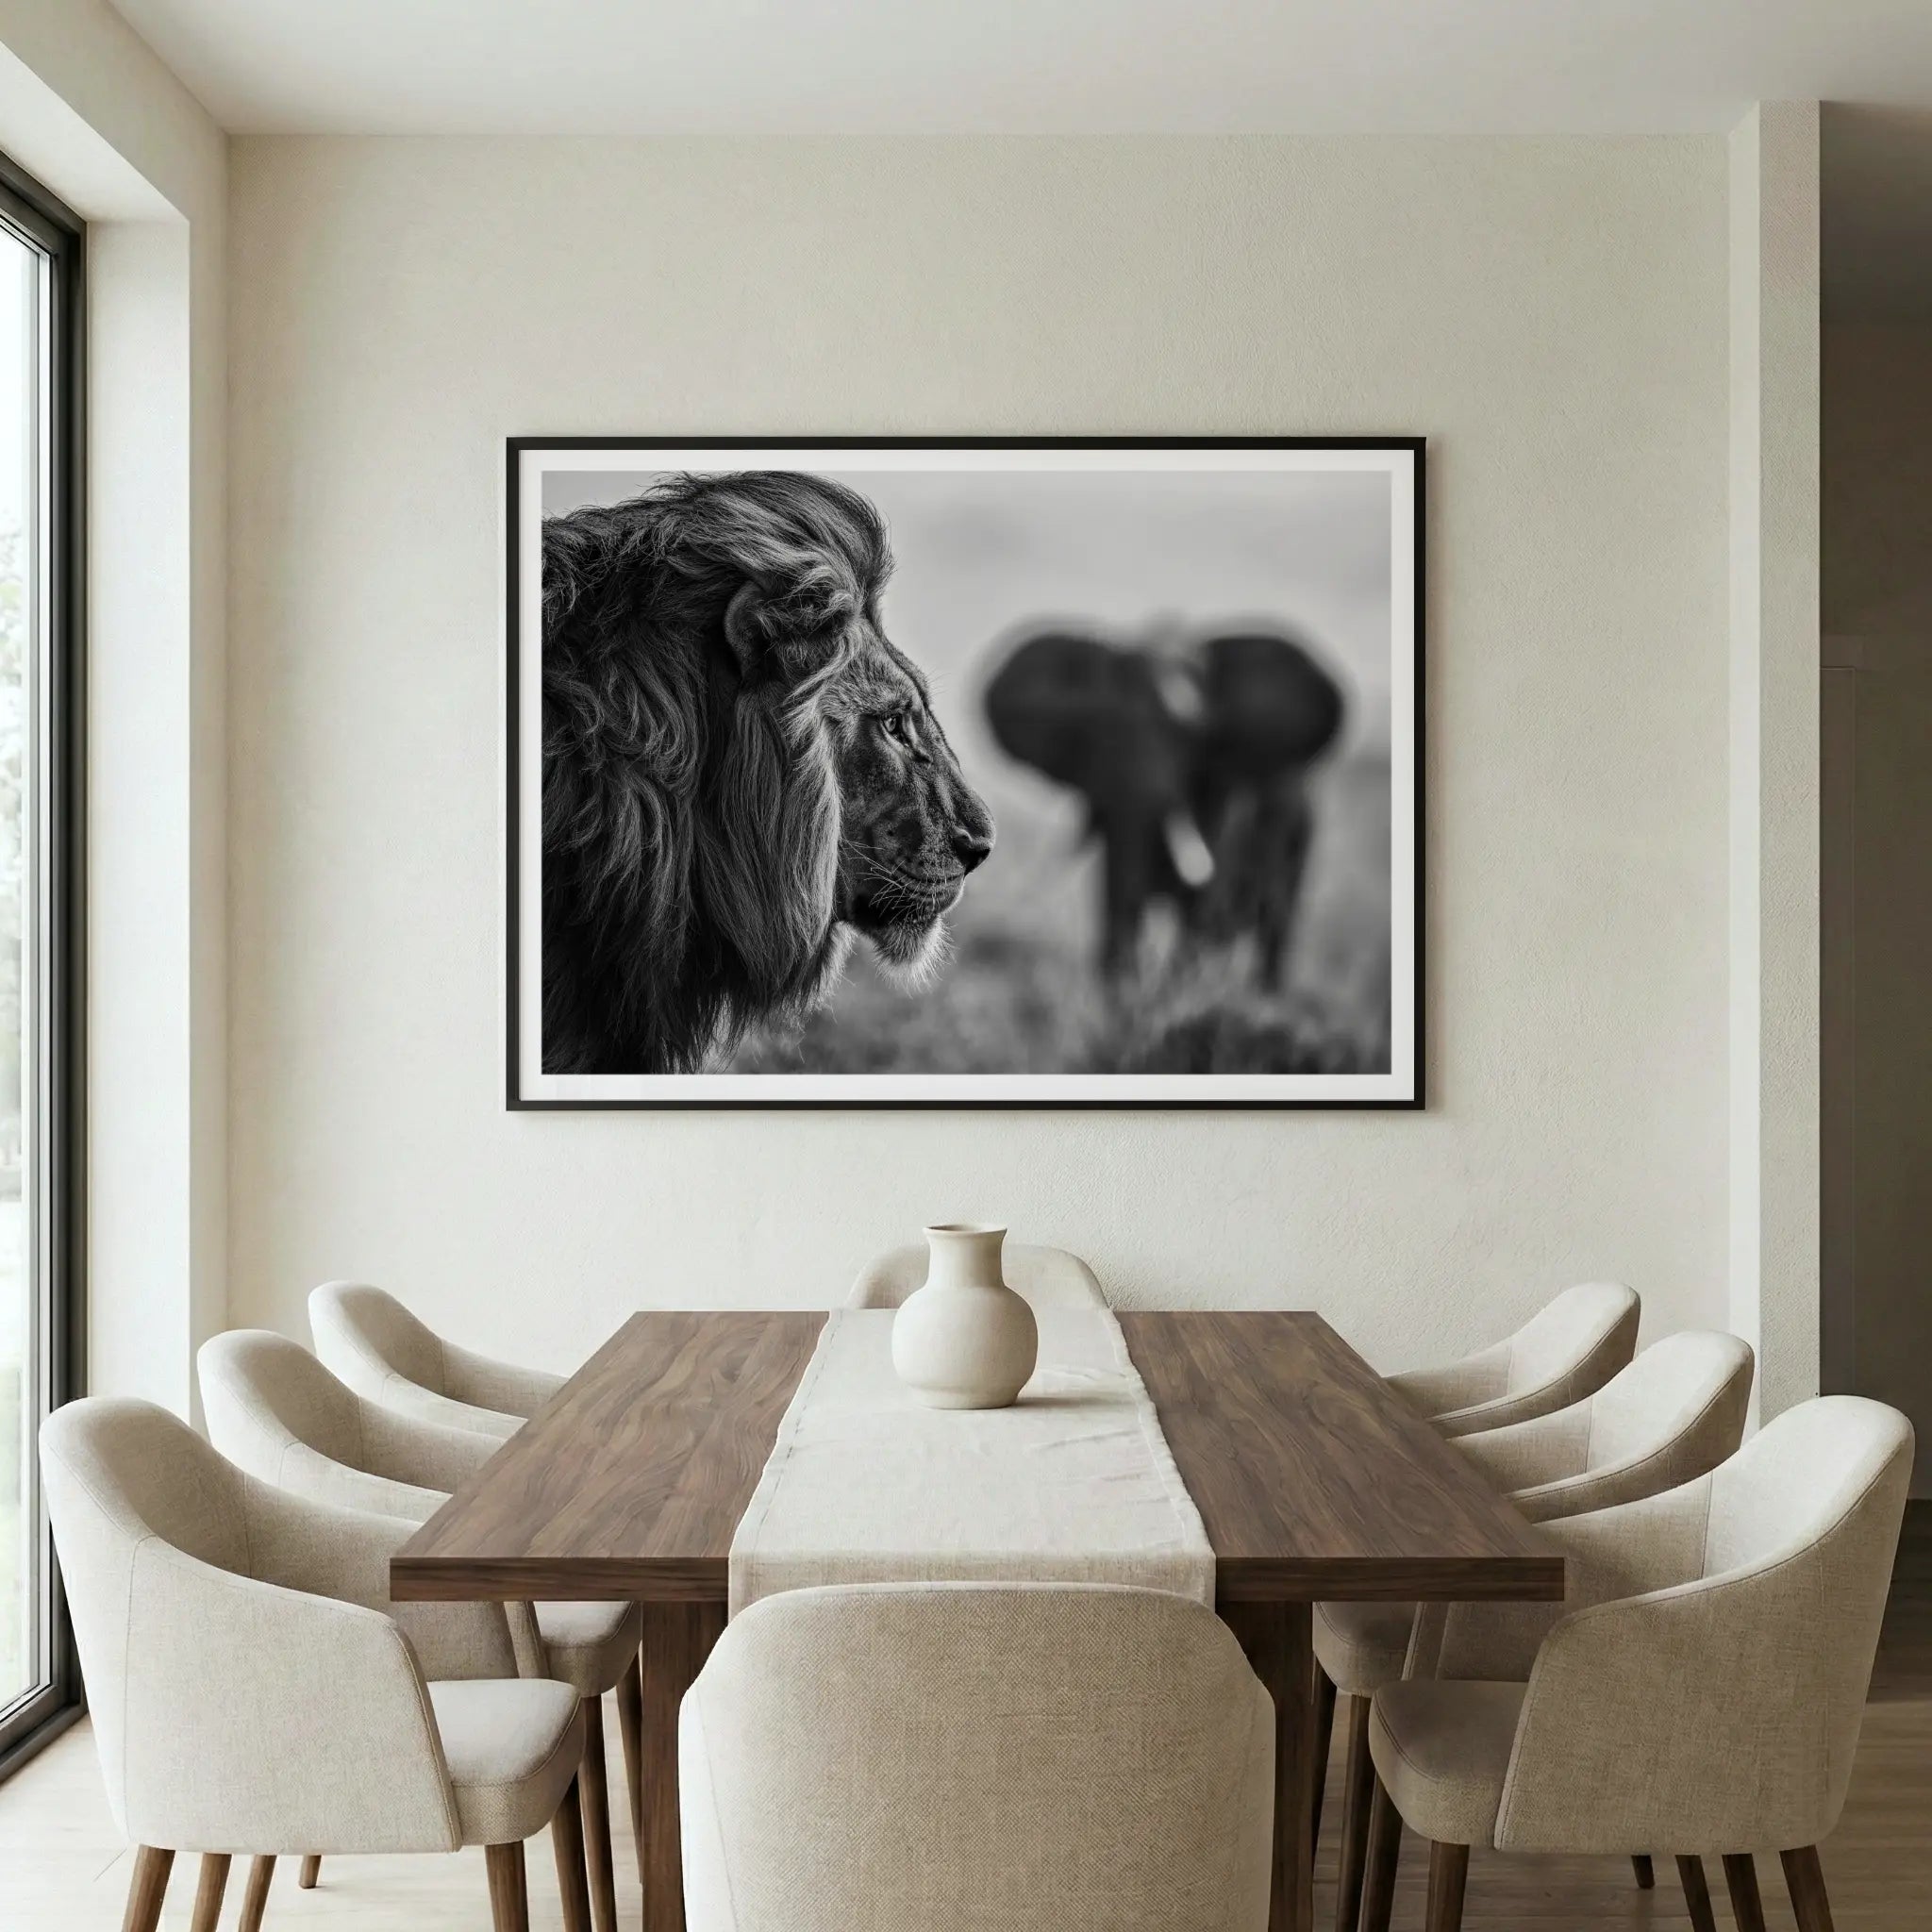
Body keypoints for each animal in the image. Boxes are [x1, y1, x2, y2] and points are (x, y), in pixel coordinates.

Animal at [982, 624, 1346, 985]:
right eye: (1092, 729)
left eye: (1189, 738)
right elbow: (1116, 890)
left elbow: (1199, 908)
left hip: (1301, 832)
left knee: (1275, 924)